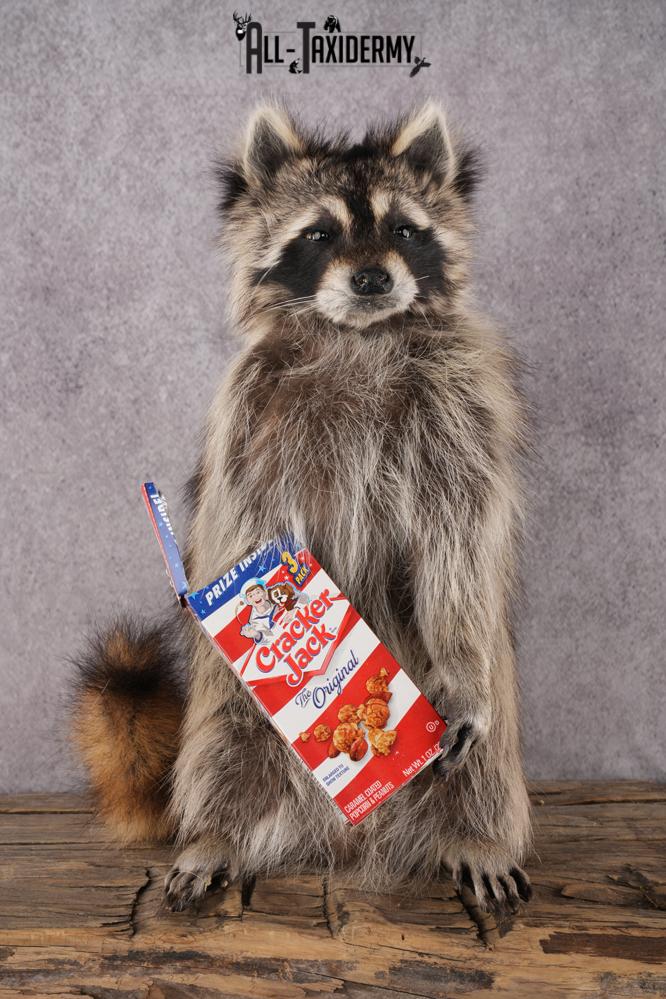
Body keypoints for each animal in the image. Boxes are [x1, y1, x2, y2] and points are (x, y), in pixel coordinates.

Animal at [72, 101, 533, 914]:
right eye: (319, 234)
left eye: (404, 229)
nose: (374, 276)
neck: (359, 334)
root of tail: (350, 842)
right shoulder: (250, 414)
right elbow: (243, 524)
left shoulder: (459, 407)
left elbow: (457, 543)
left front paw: (461, 667)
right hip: (230, 720)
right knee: (224, 741)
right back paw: (216, 831)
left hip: (472, 715)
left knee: (484, 755)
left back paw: (476, 833)